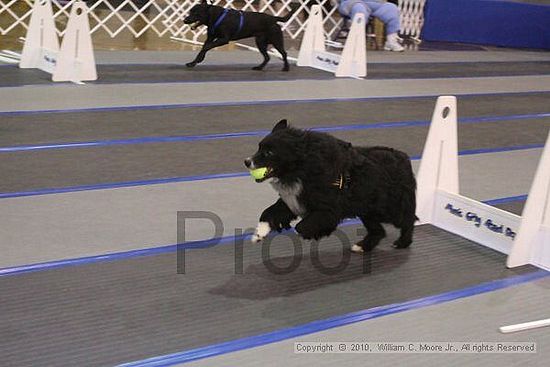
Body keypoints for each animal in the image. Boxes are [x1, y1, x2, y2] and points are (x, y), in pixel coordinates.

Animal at [246, 121, 418, 253]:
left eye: (269, 152)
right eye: (259, 147)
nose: (246, 161)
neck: (301, 168)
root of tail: (404, 158)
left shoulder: (327, 209)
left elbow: (302, 226)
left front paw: (309, 234)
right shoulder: (292, 199)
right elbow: (269, 212)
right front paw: (259, 234)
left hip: (389, 208)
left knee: (408, 219)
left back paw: (402, 242)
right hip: (367, 210)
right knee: (379, 231)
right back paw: (362, 247)